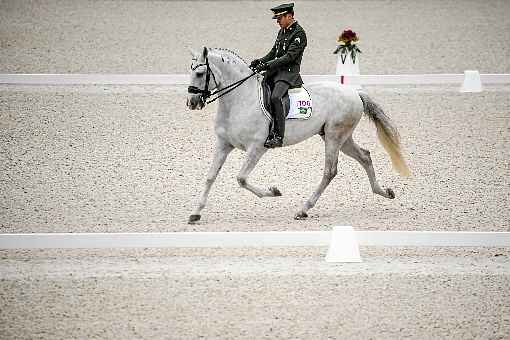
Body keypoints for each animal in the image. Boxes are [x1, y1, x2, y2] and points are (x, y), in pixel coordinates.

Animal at [187, 47, 410, 223]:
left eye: (200, 73)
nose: (192, 102)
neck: (239, 100)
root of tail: (355, 93)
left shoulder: (257, 148)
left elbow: (241, 178)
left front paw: (274, 192)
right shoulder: (223, 144)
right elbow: (210, 176)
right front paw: (196, 213)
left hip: (334, 136)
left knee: (330, 171)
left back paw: (303, 209)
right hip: (341, 138)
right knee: (365, 156)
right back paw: (384, 192)